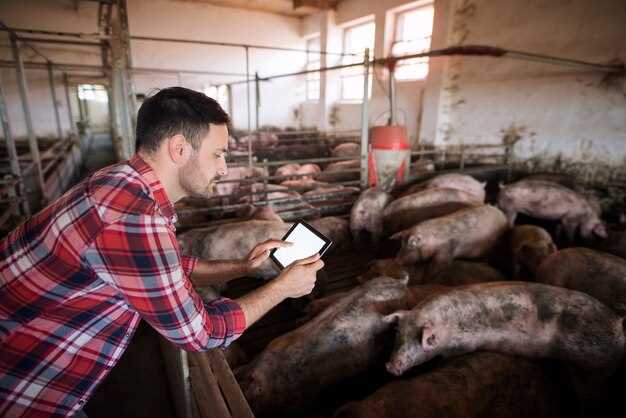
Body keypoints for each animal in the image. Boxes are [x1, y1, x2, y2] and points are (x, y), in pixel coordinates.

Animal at [382, 282, 620, 378]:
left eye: (424, 340)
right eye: (398, 335)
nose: (390, 366)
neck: (449, 326)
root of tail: (618, 323)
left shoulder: (463, 345)